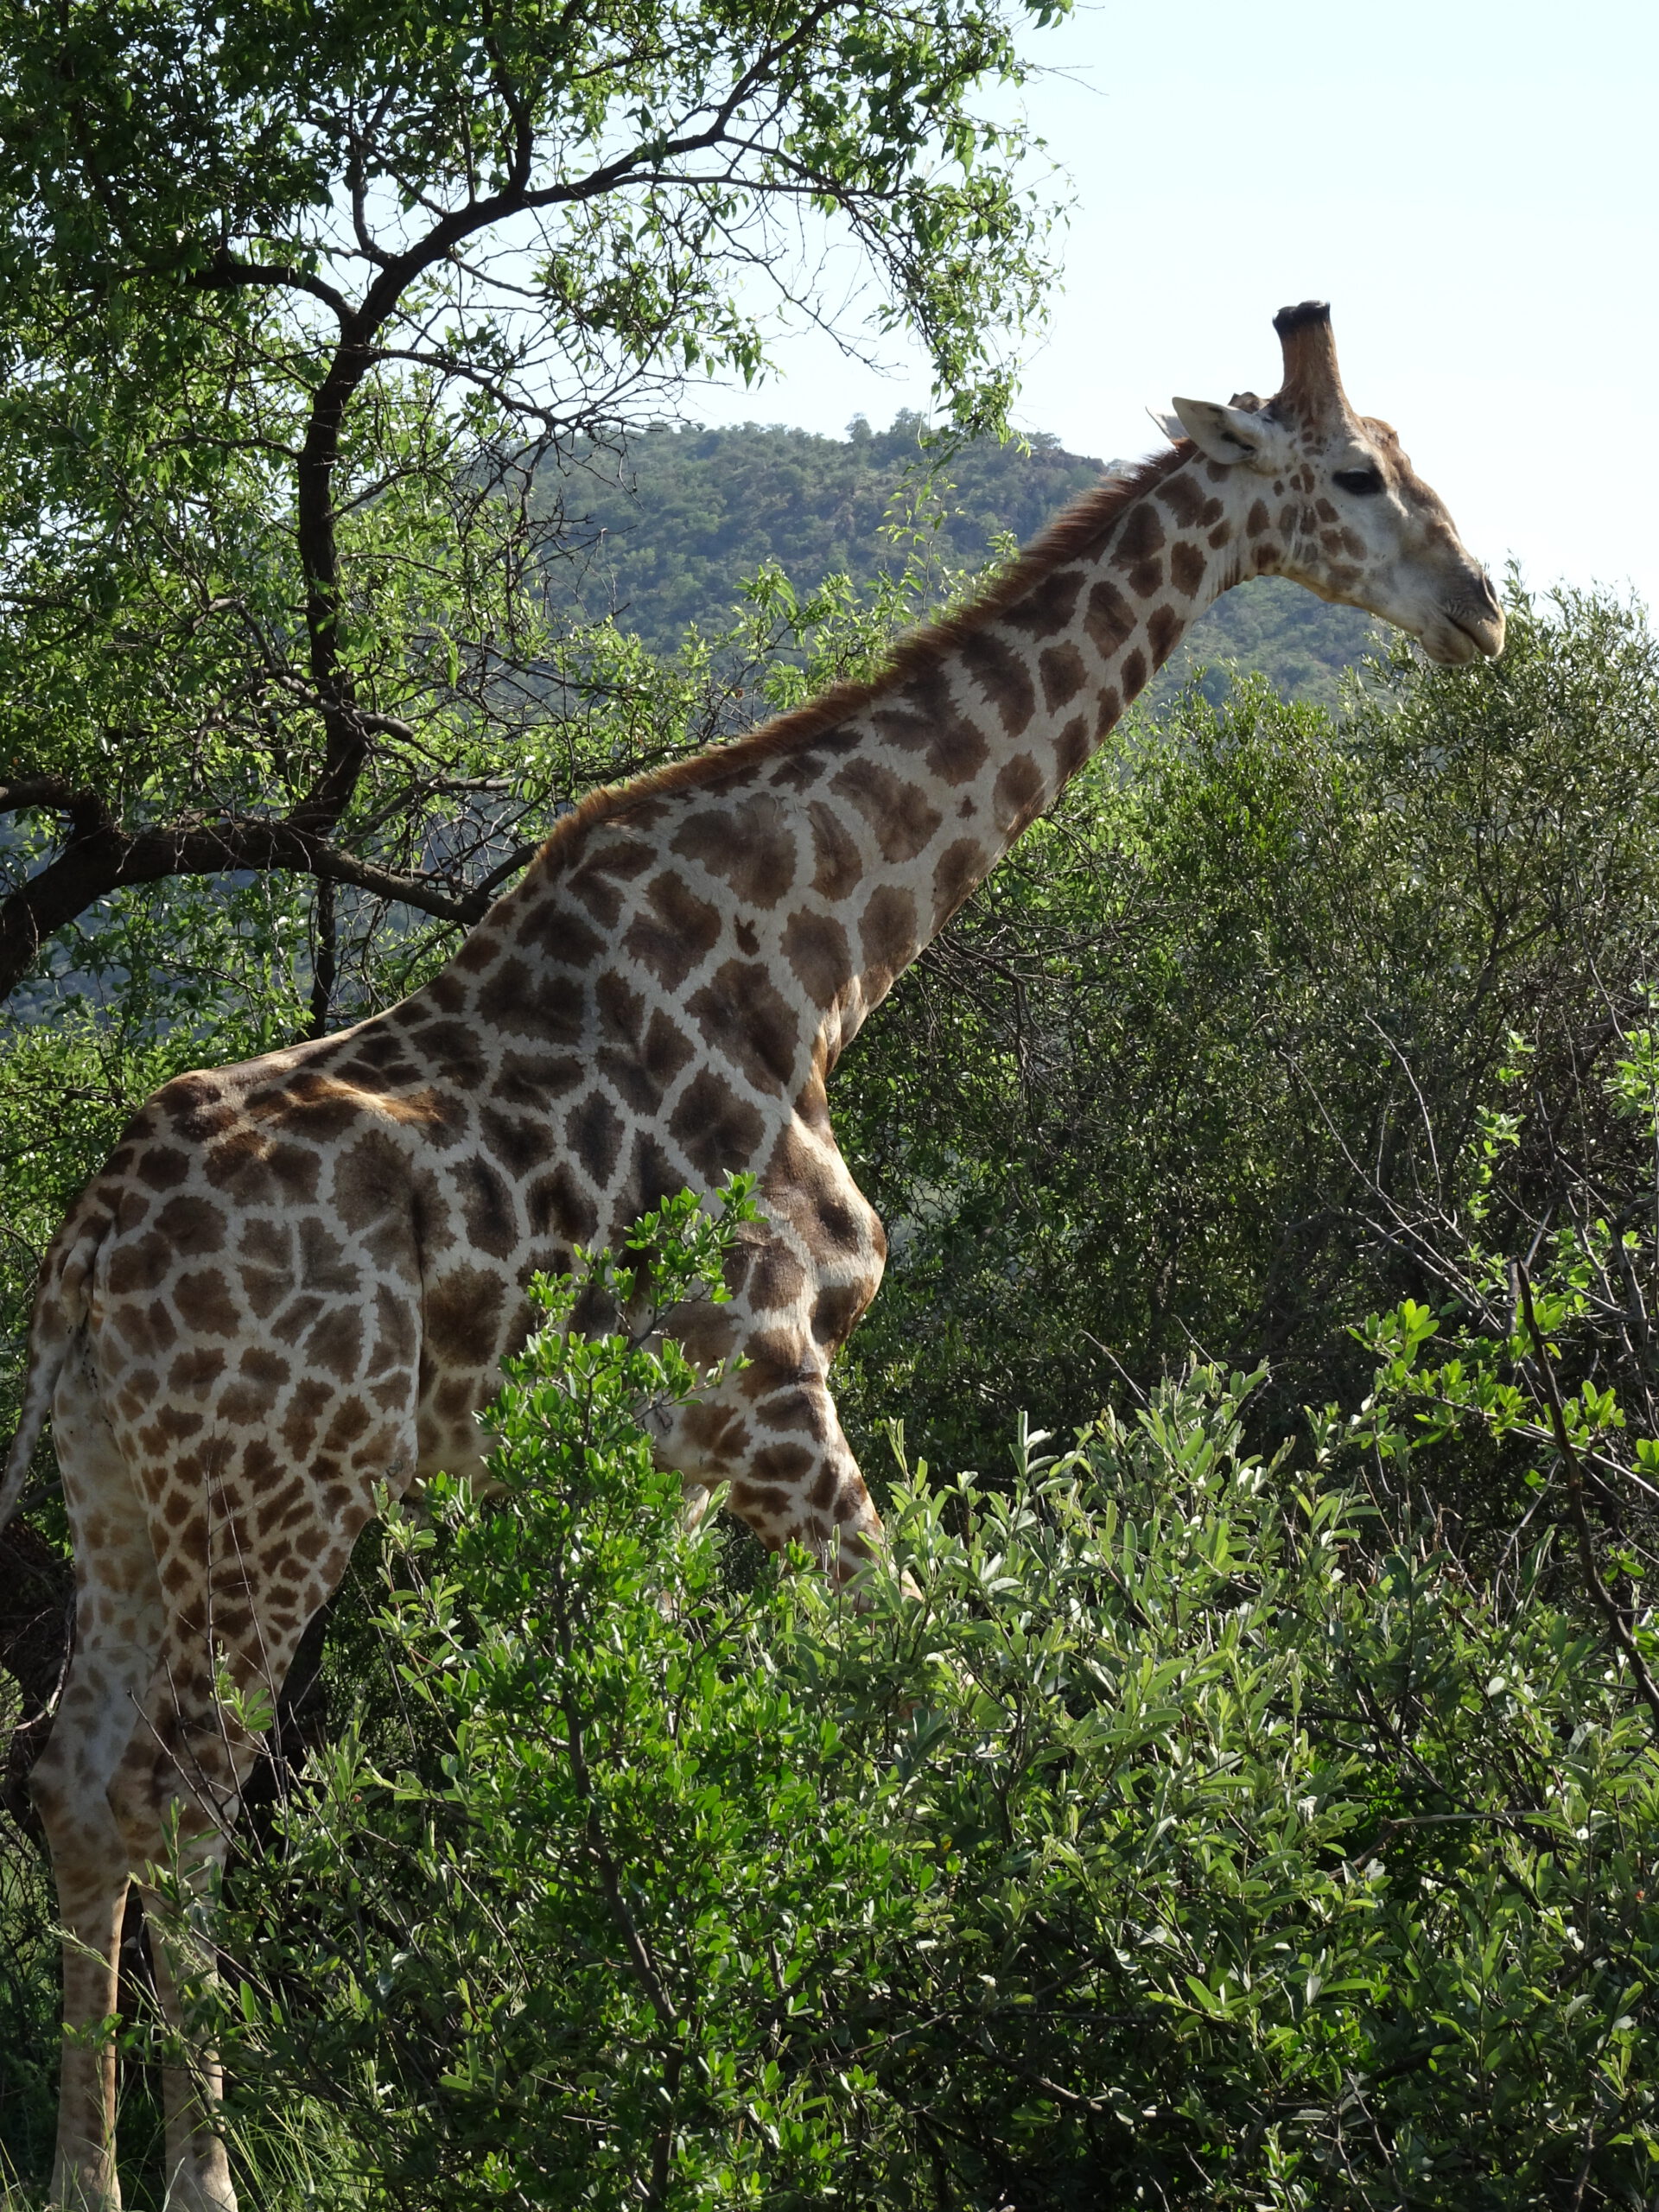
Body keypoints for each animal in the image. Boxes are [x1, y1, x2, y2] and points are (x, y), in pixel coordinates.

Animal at [0, 302, 1503, 2202]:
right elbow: (928, 1664)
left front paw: (643, 2059)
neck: (818, 960)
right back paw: (200, 2175)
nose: (1483, 607)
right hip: (286, 1487)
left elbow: (644, 1726)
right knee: (186, 1787)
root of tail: (77, 1274)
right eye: (1357, 474)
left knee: (72, 1774)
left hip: (129, 1493)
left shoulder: (664, 1448)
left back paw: (85, 2173)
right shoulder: (777, 1379)